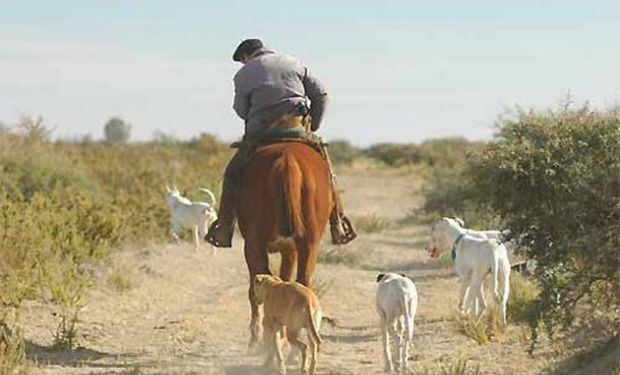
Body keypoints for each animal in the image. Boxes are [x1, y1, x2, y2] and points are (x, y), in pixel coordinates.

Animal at [237, 142, 334, 346]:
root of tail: (287, 160)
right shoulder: (290, 250)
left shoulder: (261, 247)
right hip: (309, 244)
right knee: (303, 280)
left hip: (254, 245)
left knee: (260, 285)